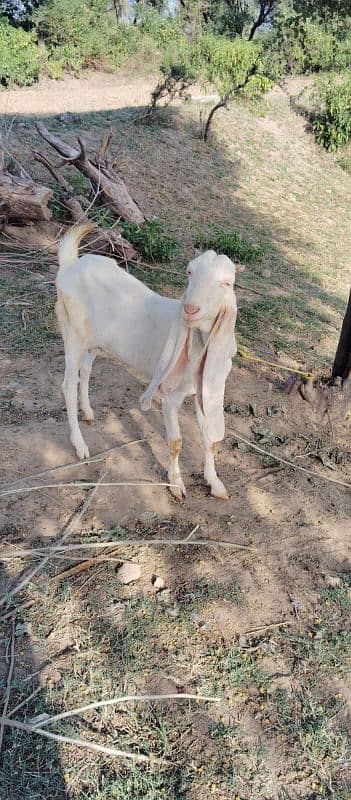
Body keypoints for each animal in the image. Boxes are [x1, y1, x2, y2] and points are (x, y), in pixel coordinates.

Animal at [56, 222, 239, 496]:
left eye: (227, 283)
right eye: (189, 272)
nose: (190, 309)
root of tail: (70, 265)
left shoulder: (205, 391)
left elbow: (209, 439)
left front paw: (215, 483)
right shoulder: (170, 395)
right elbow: (176, 442)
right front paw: (176, 485)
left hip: (94, 340)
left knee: (86, 369)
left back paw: (87, 411)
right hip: (72, 331)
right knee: (68, 383)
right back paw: (80, 445)